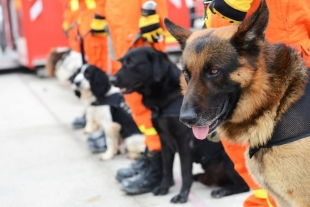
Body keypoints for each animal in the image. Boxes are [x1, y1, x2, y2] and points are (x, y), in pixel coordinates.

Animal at [109, 47, 249, 204]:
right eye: (122, 62)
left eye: (131, 63)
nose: (111, 80)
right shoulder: (164, 141)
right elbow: (166, 168)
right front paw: (163, 188)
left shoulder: (184, 143)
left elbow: (184, 172)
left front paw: (182, 196)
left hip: (228, 162)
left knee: (244, 186)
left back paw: (222, 190)